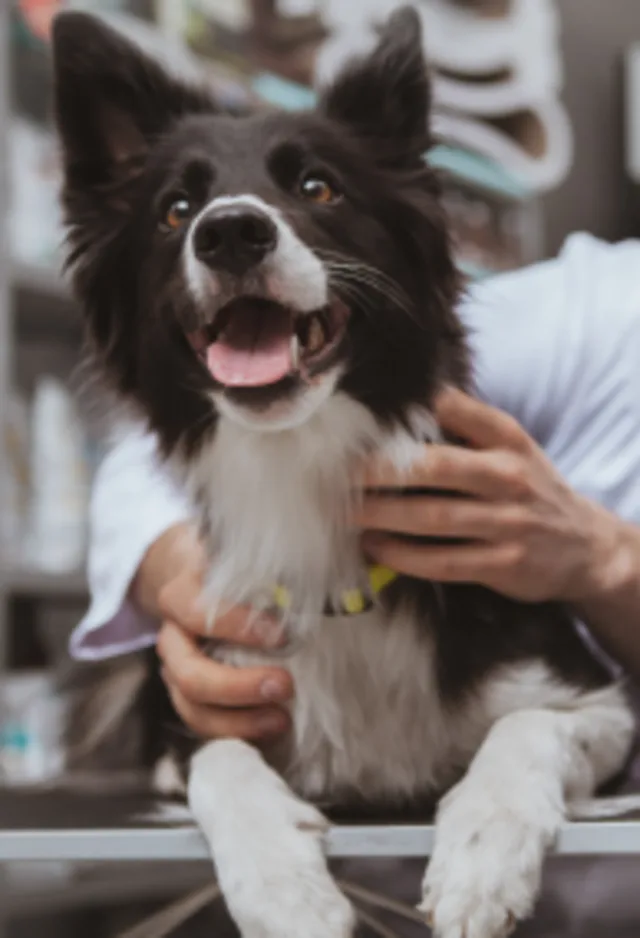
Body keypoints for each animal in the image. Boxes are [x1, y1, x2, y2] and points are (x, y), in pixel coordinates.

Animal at [53, 9, 636, 936]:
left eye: (318, 188)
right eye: (174, 210)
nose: (230, 230)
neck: (300, 458)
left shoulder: (597, 704)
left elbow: (526, 732)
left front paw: (484, 857)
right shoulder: (206, 701)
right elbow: (222, 762)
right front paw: (284, 889)